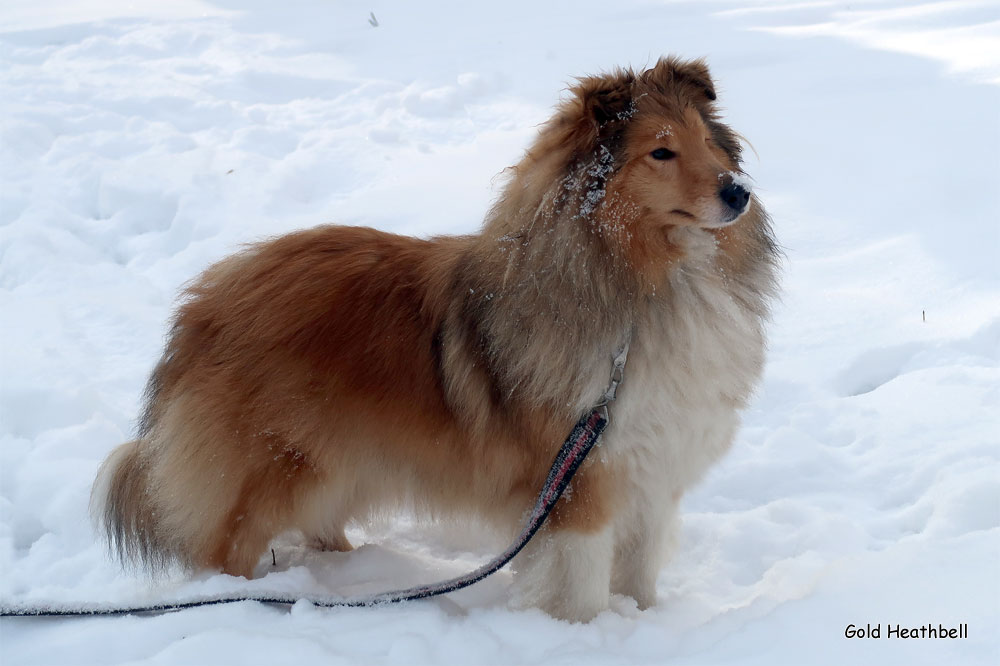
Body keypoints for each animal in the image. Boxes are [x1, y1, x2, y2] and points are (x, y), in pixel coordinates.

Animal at [92, 55, 780, 616]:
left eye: (707, 143)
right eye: (660, 153)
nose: (739, 192)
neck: (653, 284)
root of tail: (202, 303)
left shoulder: (652, 474)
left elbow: (639, 573)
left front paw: (643, 621)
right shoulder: (581, 483)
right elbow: (582, 583)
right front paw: (586, 634)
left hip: (341, 459)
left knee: (318, 526)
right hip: (279, 467)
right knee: (224, 552)